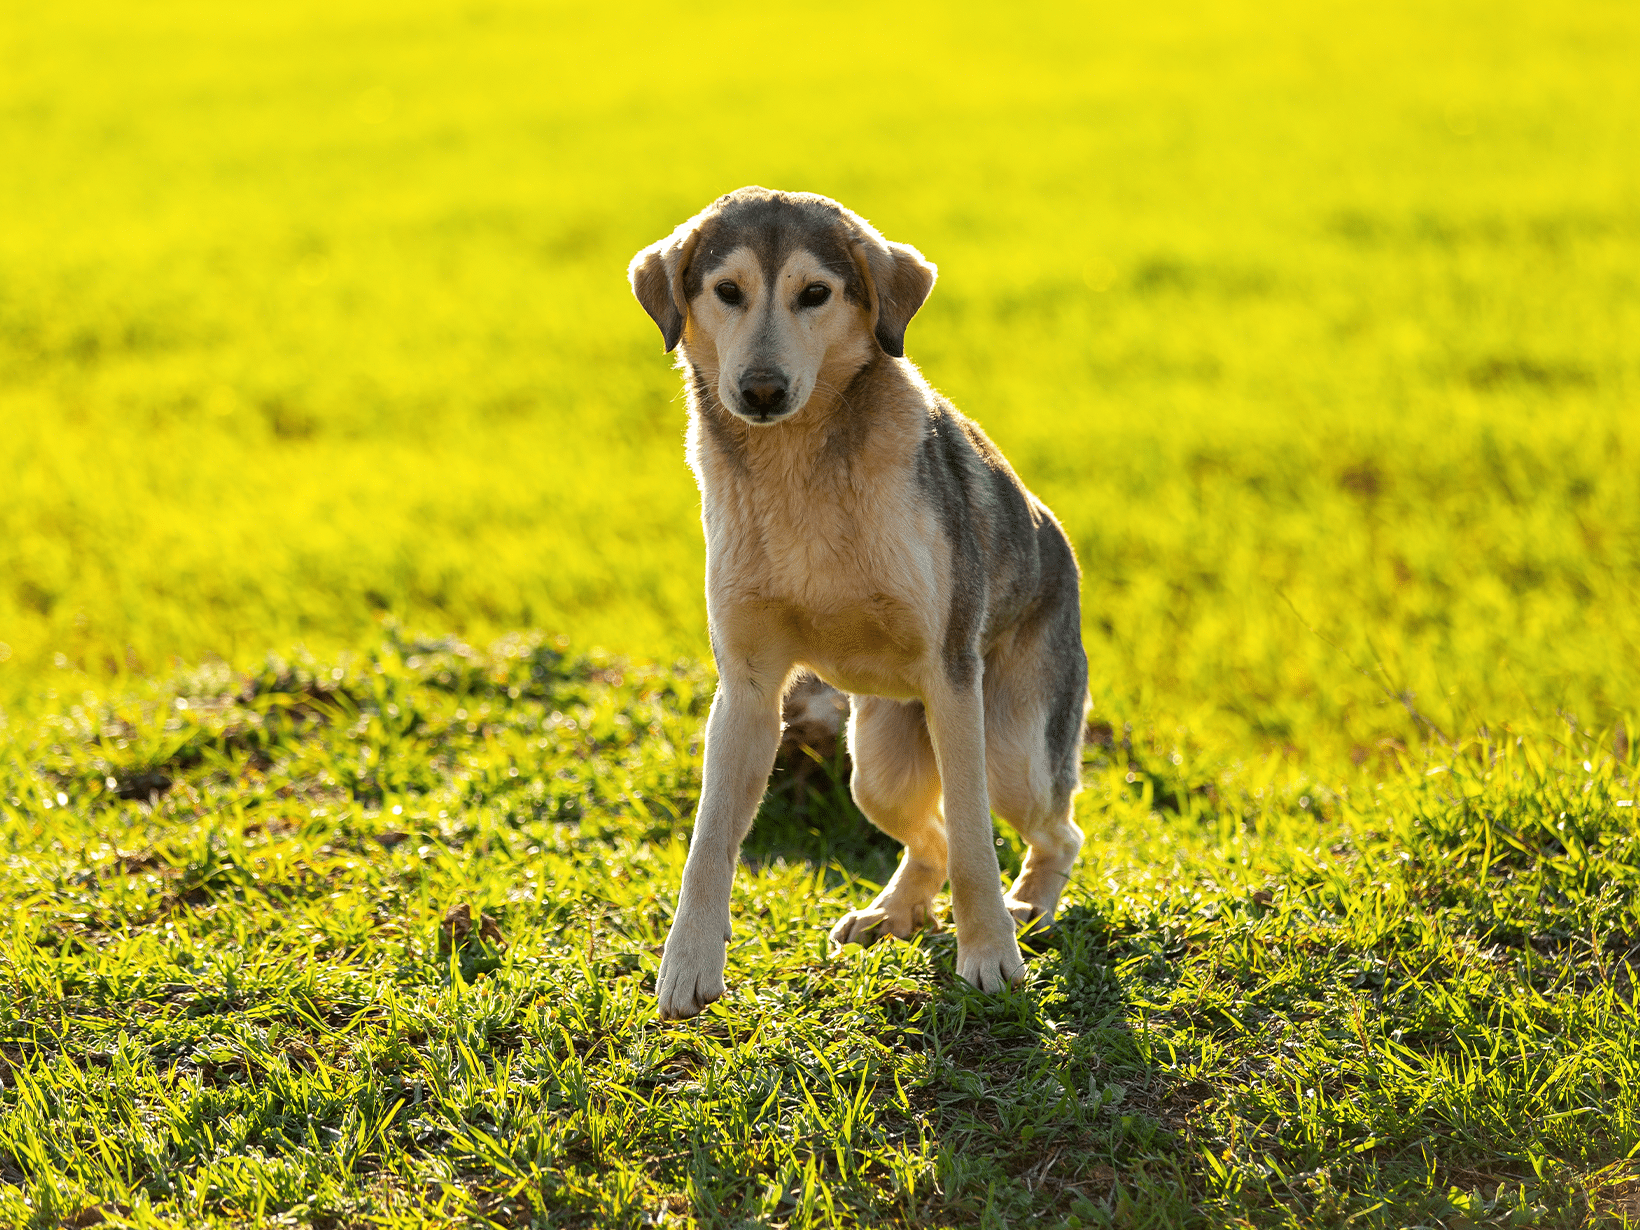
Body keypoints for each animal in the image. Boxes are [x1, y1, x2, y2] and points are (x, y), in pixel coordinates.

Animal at [626, 187, 1088, 1023]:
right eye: (728, 291)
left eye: (815, 293)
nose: (762, 390)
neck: (800, 475)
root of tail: (1057, 536)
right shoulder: (747, 691)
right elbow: (709, 843)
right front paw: (687, 967)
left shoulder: (951, 680)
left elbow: (975, 840)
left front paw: (990, 958)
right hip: (876, 766)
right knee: (927, 836)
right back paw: (892, 912)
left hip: (1012, 751)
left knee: (1049, 832)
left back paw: (1029, 907)